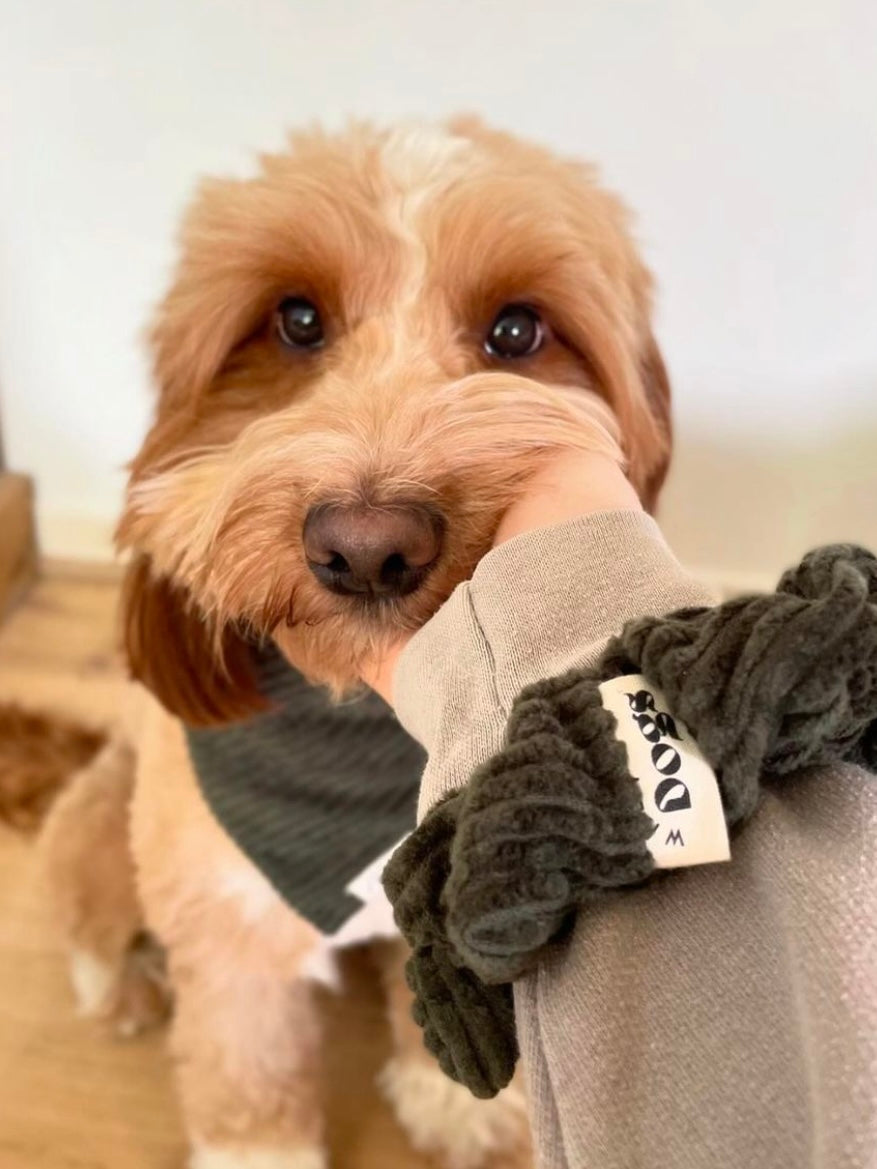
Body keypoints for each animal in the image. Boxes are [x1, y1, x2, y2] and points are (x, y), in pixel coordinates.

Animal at [36, 120, 673, 1169]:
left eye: (516, 332)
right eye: (296, 320)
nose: (369, 546)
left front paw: (457, 1104)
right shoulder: (228, 925)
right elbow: (245, 1080)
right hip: (103, 832)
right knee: (87, 910)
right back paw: (119, 980)